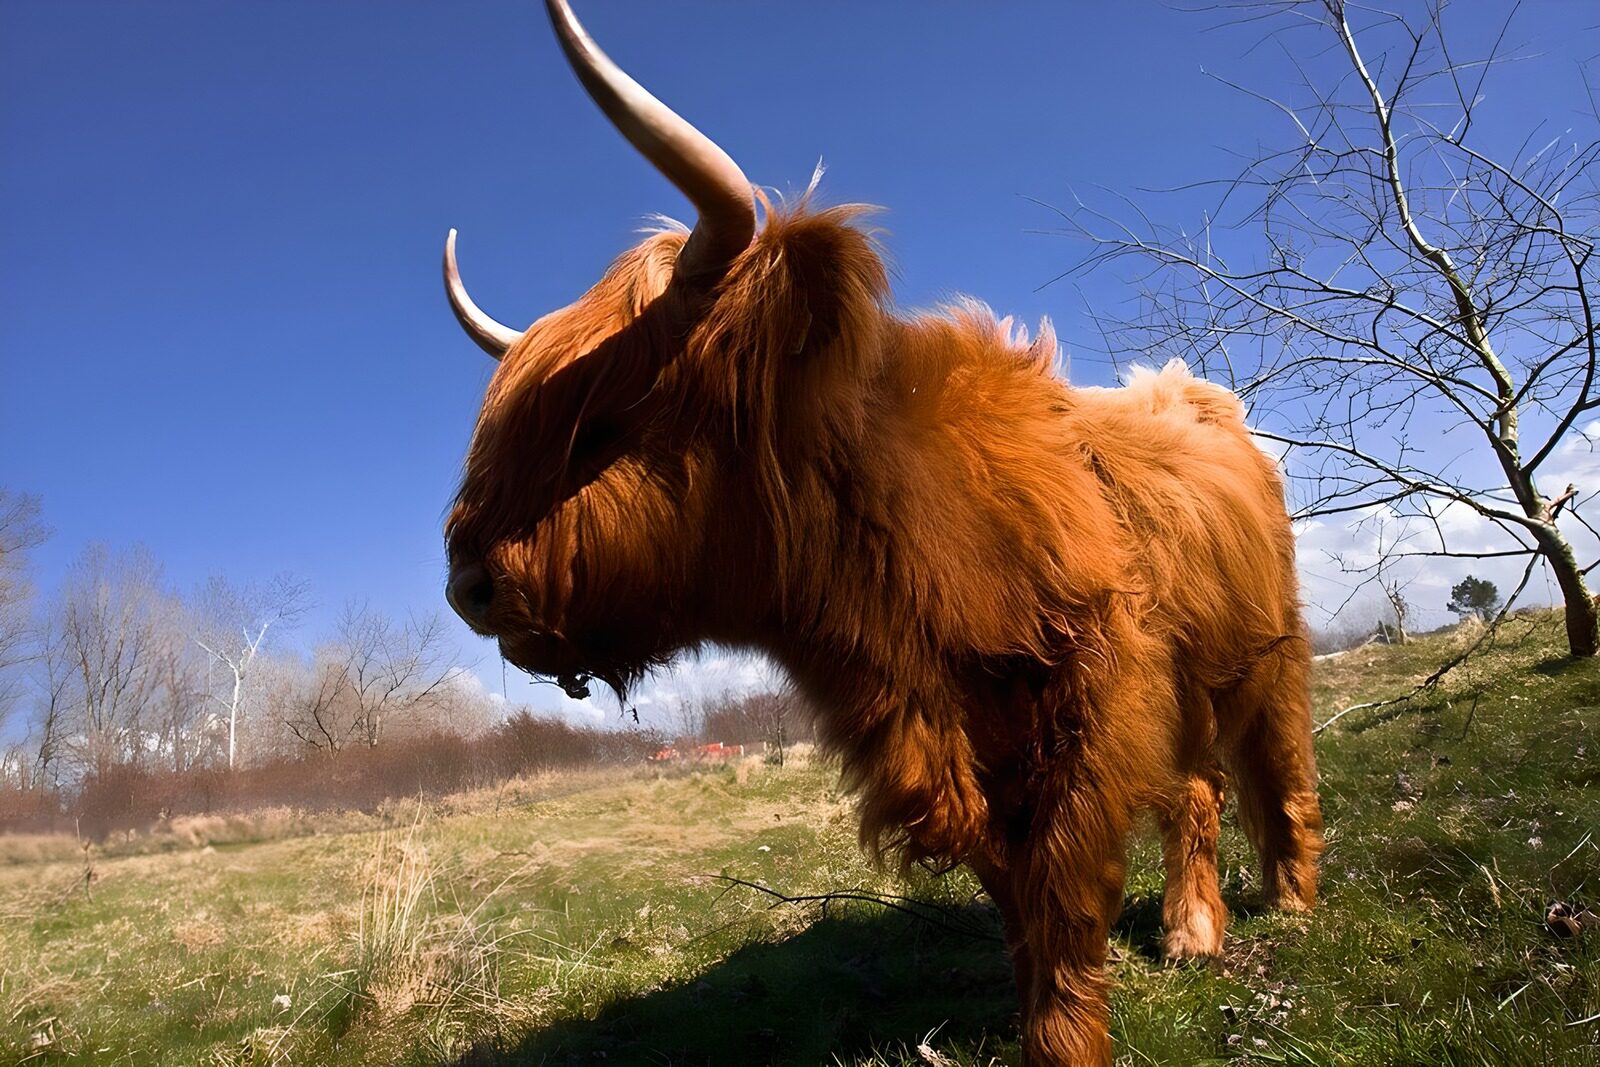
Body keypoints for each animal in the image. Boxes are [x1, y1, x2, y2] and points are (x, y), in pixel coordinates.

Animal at [441, 3, 1324, 1062]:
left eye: (602, 421)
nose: (466, 584)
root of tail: (1199, 396)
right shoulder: (960, 749)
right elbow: (1017, 897)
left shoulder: (1090, 702)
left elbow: (1065, 892)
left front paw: (1066, 1041)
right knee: (1196, 789)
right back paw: (1194, 931)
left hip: (1265, 651)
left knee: (1276, 767)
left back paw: (1292, 902)